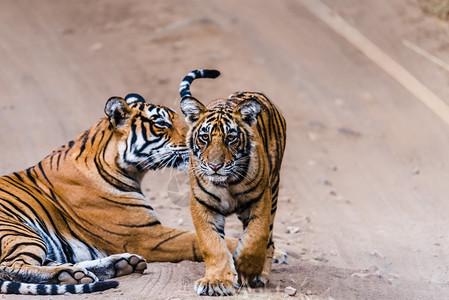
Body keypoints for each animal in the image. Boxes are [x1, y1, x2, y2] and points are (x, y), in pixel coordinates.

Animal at [0, 93, 242, 296]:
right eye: (161, 123)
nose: (196, 140)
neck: (131, 170)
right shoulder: (146, 235)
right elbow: (205, 240)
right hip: (18, 231)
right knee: (11, 266)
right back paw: (68, 275)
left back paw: (117, 265)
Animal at [179, 69, 288, 296]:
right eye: (204, 137)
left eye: (231, 138)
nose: (215, 166)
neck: (226, 183)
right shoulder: (202, 205)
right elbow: (212, 244)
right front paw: (216, 281)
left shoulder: (261, 200)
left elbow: (255, 237)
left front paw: (246, 269)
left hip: (274, 188)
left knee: (269, 239)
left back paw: (261, 275)